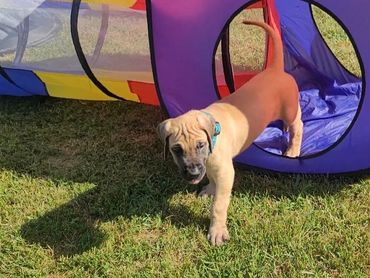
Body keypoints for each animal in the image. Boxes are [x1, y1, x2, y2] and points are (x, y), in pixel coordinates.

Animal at [157, 20, 304, 245]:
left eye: (200, 145)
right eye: (176, 149)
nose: (192, 174)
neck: (213, 137)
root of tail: (275, 69)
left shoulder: (226, 173)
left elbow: (219, 205)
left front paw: (217, 231)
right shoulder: (211, 166)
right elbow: (211, 177)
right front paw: (209, 188)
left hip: (290, 108)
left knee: (299, 124)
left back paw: (293, 149)